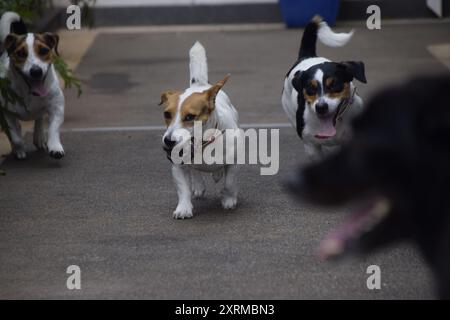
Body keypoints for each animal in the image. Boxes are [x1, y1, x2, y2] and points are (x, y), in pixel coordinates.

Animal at [0, 12, 65, 160]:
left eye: (43, 50)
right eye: (20, 53)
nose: (36, 71)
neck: (29, 93)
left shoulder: (57, 106)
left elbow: (53, 128)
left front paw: (55, 147)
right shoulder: (6, 113)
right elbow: (15, 136)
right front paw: (19, 149)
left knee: (39, 118)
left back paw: (39, 137)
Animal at [161, 41, 241, 219]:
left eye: (190, 116)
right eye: (166, 114)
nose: (168, 141)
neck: (203, 144)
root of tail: (199, 85)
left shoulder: (233, 162)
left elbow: (230, 182)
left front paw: (228, 199)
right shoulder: (178, 167)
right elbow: (183, 189)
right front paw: (183, 208)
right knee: (195, 172)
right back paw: (198, 185)